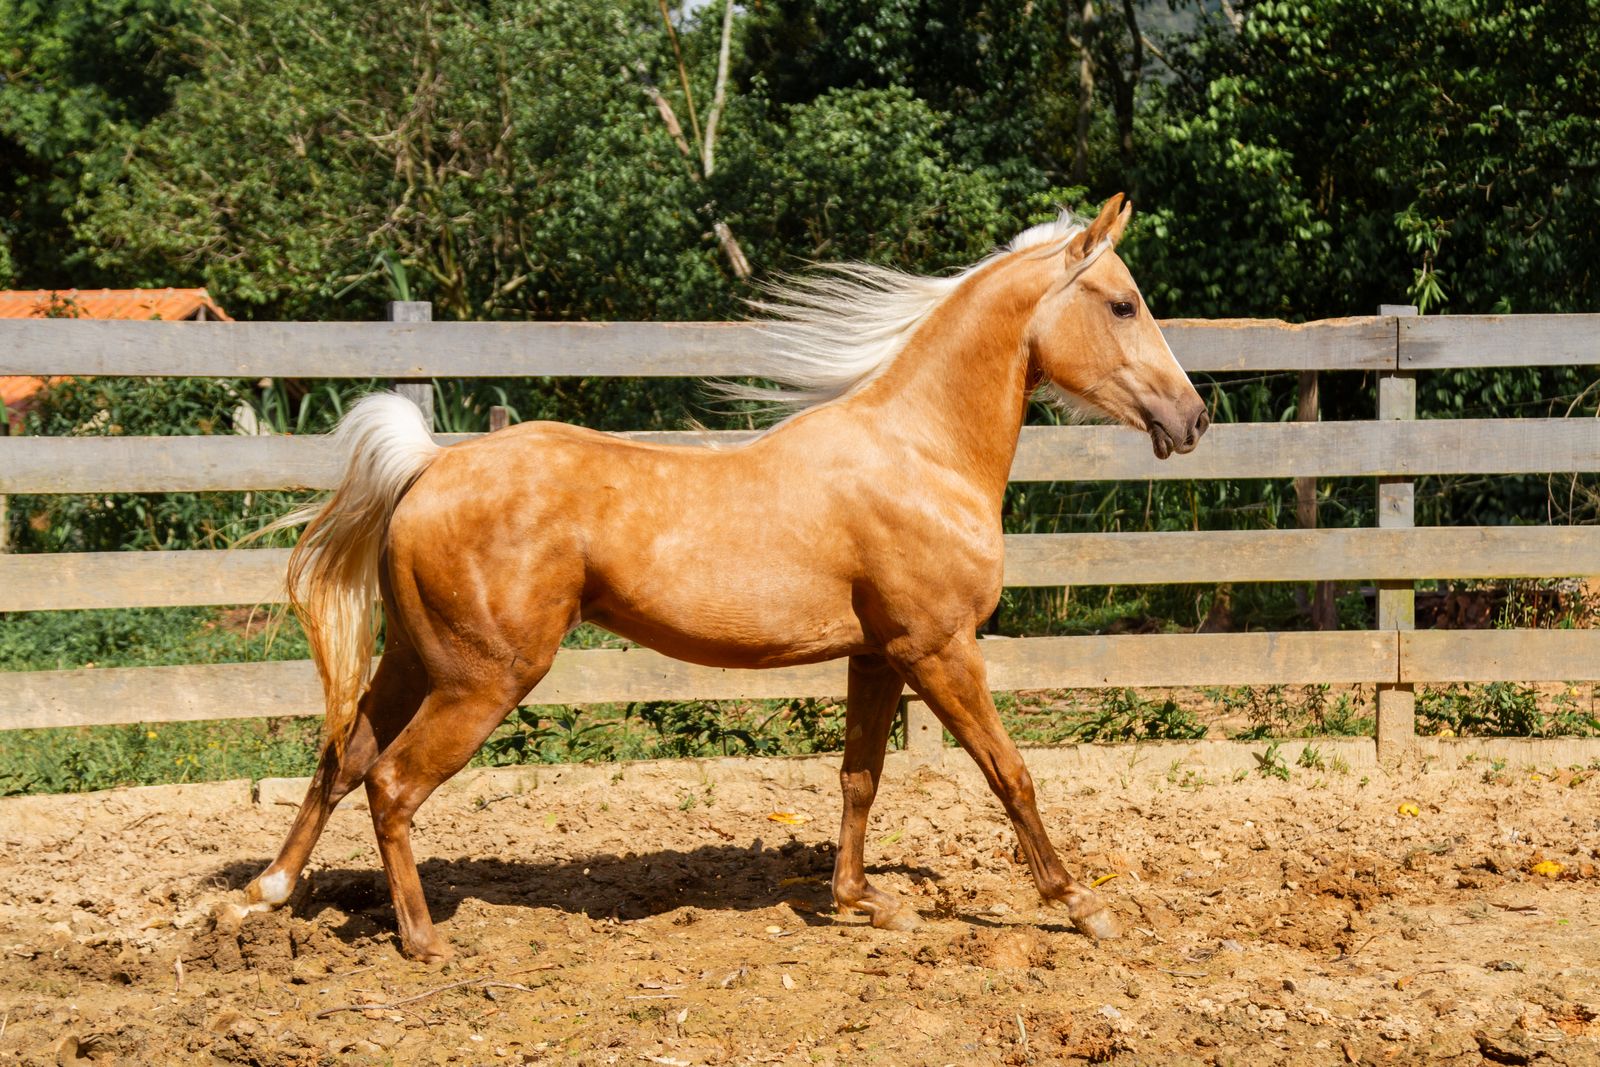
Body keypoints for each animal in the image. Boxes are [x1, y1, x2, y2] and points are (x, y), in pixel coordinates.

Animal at [237, 194, 1208, 962]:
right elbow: (1013, 774)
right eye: (1123, 303)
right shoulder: (940, 650)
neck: (922, 453)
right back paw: (423, 940)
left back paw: (265, 893)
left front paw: (865, 903)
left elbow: (859, 777)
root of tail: (429, 466)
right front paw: (1084, 907)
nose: (1193, 417)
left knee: (341, 756)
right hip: (483, 678)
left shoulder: (877, 655)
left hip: (413, 660)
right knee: (391, 782)